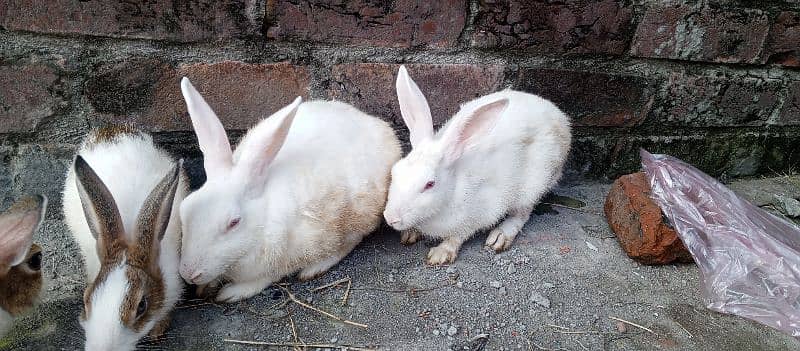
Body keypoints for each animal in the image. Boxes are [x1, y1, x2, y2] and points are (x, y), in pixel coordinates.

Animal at [177, 78, 398, 304]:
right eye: (184, 210)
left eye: (233, 223)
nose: (188, 273)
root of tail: (378, 125)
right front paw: (205, 287)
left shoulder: (290, 252)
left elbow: (267, 277)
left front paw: (232, 292)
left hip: (355, 214)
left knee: (348, 242)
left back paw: (314, 268)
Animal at [384, 66, 572, 266]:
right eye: (395, 172)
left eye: (429, 184)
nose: (390, 218)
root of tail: (561, 118)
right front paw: (410, 233)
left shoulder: (479, 214)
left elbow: (458, 235)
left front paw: (441, 253)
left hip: (532, 187)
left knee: (522, 214)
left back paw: (500, 236)